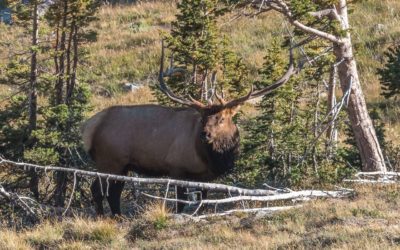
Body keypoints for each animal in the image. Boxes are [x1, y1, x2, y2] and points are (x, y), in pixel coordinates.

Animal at [81, 43, 296, 215]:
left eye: (222, 118)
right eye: (202, 118)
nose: (205, 134)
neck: (212, 158)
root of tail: (89, 127)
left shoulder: (206, 177)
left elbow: (203, 200)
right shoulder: (176, 168)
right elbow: (180, 202)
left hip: (122, 166)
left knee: (112, 192)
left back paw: (117, 217)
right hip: (110, 161)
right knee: (99, 190)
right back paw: (104, 217)